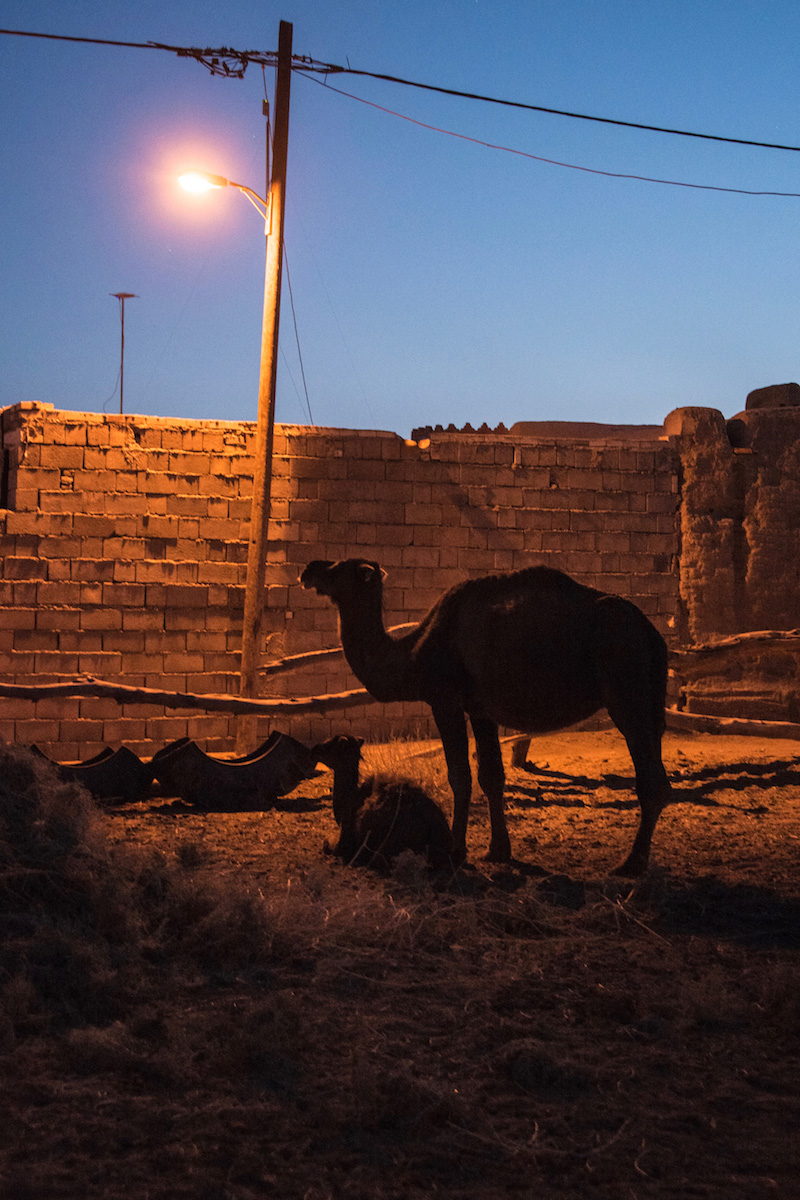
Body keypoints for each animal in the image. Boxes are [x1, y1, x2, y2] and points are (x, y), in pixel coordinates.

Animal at [298, 556, 671, 878]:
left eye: (339, 567)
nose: (308, 569)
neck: (414, 653)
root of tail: (651, 633)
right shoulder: (480, 709)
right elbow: (491, 775)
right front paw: (498, 850)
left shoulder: (444, 699)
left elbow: (460, 776)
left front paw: (456, 851)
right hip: (651, 700)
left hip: (627, 691)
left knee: (651, 779)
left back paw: (631, 864)